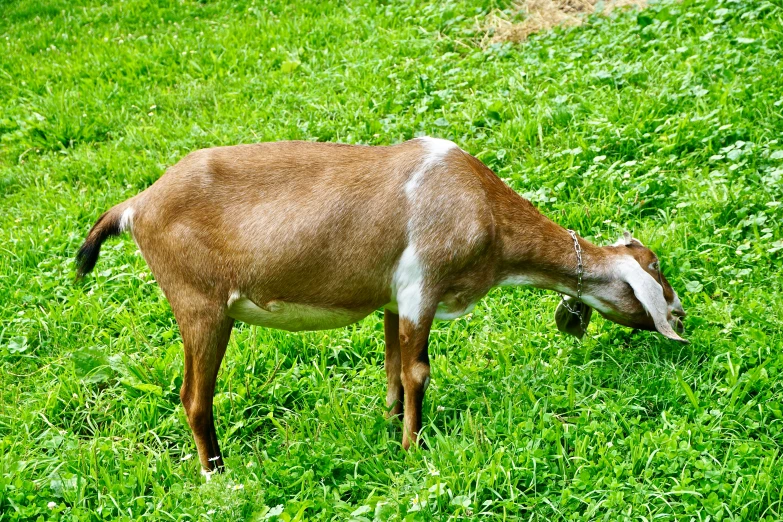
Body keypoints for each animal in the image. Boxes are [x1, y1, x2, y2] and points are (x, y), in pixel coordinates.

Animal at [73, 137, 688, 472]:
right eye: (658, 271)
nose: (681, 317)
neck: (480, 206)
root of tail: (137, 205)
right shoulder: (422, 286)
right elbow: (419, 371)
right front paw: (414, 448)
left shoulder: (395, 298)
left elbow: (393, 367)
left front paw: (391, 428)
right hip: (201, 306)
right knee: (194, 399)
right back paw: (218, 475)